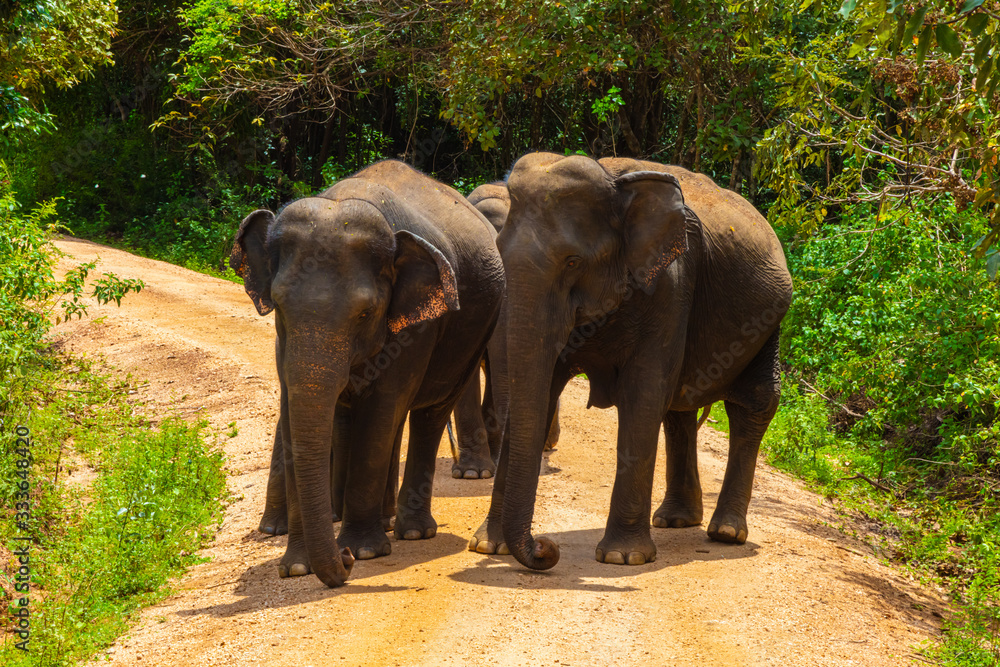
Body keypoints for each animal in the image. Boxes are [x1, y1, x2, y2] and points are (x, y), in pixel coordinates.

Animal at [231, 160, 504, 587]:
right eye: (278, 305)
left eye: (365, 313)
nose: (343, 563)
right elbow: (294, 410)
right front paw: (297, 567)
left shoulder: (415, 326)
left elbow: (382, 409)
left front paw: (363, 552)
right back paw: (382, 522)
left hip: (472, 334)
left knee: (427, 415)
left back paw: (412, 531)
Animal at [468, 153, 792, 570]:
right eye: (499, 252)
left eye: (573, 262)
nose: (546, 548)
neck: (615, 184)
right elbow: (544, 389)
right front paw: (487, 546)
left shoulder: (671, 283)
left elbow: (644, 392)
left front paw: (623, 558)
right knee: (679, 409)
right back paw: (676, 520)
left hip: (770, 322)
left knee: (753, 401)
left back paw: (726, 533)